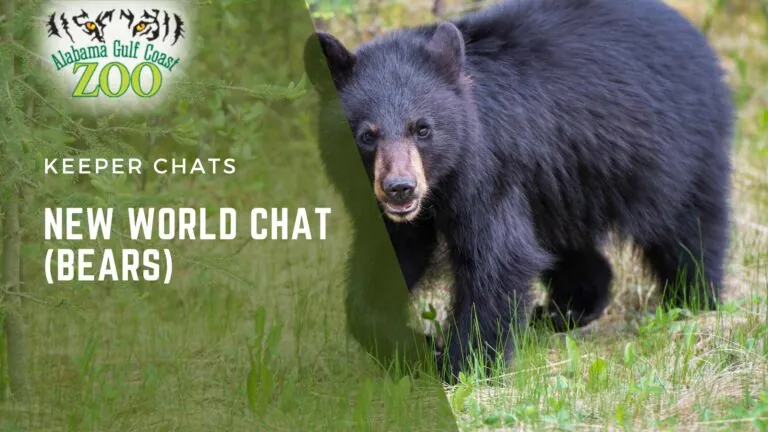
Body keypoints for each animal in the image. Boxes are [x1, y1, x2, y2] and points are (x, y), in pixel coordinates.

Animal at [303, 0, 734, 382]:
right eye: (367, 135)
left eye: (422, 128)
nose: (400, 190)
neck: (439, 185)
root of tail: (697, 38)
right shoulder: (392, 214)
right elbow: (382, 264)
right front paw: (413, 347)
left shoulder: (489, 171)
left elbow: (498, 260)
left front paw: (462, 364)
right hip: (563, 183)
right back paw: (565, 310)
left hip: (676, 152)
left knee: (690, 227)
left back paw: (692, 300)